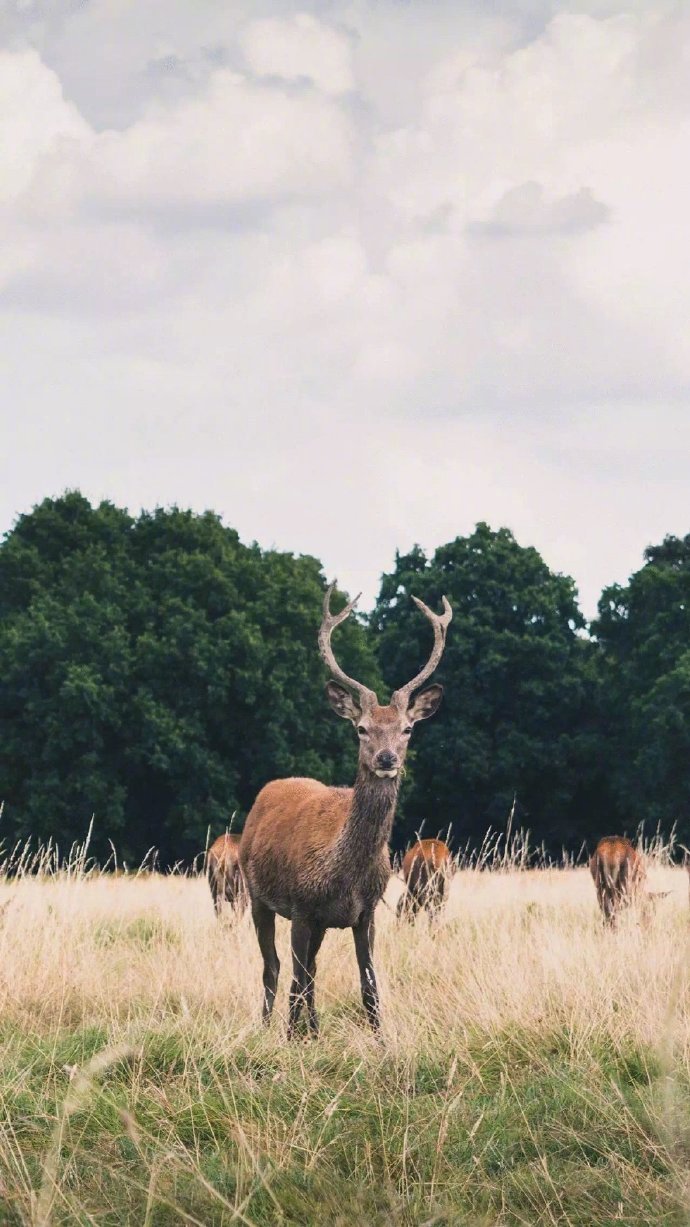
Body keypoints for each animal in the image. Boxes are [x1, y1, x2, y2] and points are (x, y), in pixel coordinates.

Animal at [239, 581, 449, 1035]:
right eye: (361, 729)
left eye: (408, 728)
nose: (387, 758)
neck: (344, 876)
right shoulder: (301, 907)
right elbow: (295, 978)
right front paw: (289, 1039)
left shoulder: (366, 913)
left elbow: (368, 985)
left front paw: (380, 1040)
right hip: (257, 894)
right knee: (274, 967)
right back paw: (267, 1027)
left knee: (310, 971)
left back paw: (313, 1029)